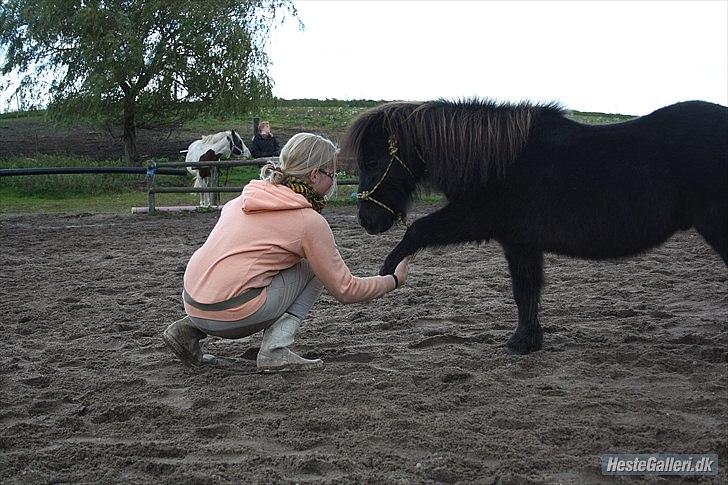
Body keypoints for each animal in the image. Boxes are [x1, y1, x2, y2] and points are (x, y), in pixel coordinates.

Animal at [342, 98, 728, 354]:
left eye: (373, 161)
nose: (366, 220)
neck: (497, 162)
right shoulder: (521, 242)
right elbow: (526, 289)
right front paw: (528, 339)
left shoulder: (475, 220)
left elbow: (418, 231)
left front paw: (387, 272)